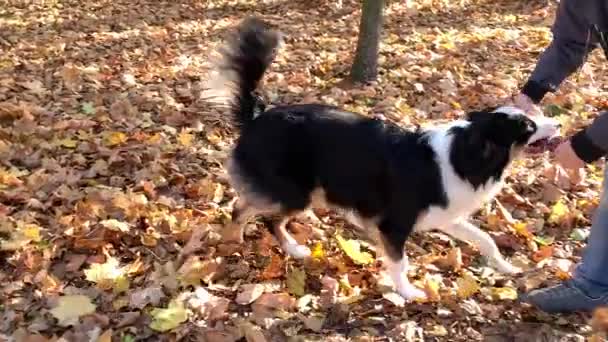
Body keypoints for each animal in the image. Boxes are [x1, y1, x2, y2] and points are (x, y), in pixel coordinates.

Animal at [205, 17, 560, 300]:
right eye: (528, 127)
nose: (558, 123)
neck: (465, 154)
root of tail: (256, 117)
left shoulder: (447, 216)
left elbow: (486, 240)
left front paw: (507, 267)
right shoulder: (393, 224)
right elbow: (400, 262)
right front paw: (408, 293)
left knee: (242, 206)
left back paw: (232, 238)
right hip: (298, 193)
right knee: (268, 218)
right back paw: (292, 248)